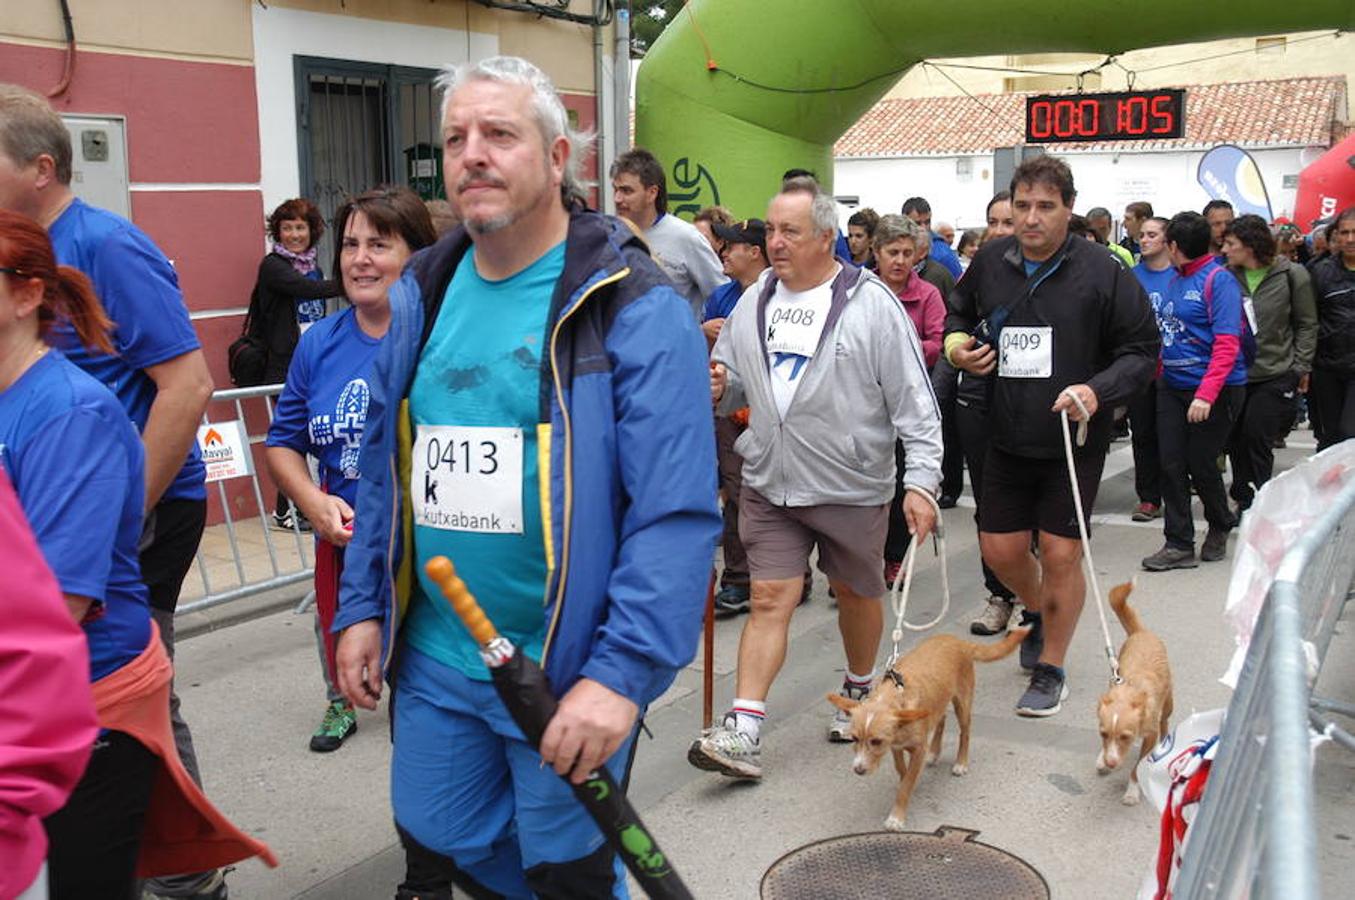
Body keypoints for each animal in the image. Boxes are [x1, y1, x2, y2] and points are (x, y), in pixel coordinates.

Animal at [823, 626, 1024, 829]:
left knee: (965, 732)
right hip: (939, 703)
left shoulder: (918, 749)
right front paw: (908, 782)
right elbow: (902, 770)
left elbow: (906, 784)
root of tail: (958, 641)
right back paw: (934, 751)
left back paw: (961, 762)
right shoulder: (896, 747)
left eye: (877, 741)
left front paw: (897, 816)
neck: (896, 697)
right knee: (941, 720)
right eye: (854, 739)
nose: (858, 770)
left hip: (962, 703)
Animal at [1094, 580, 1170, 802]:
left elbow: (1137, 767)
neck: (1130, 691)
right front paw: (1101, 758)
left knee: (1165, 722)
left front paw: (1132, 791)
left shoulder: (1150, 735)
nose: (1111, 763)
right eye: (1103, 734)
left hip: (1168, 703)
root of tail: (1141, 632)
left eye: (1125, 737)